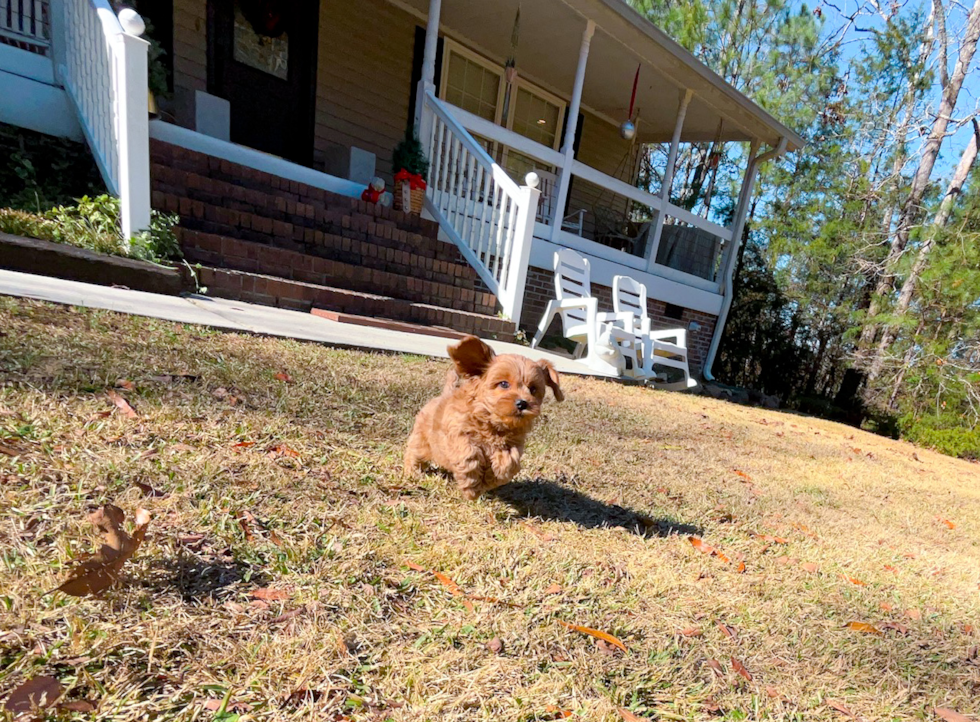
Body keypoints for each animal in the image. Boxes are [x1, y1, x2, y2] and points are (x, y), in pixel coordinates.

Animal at [402, 334, 564, 498]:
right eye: (504, 384)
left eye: (533, 389)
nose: (523, 403)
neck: (493, 423)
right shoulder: (456, 433)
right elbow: (468, 454)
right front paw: (471, 486)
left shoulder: (515, 443)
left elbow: (510, 460)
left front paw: (493, 475)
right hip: (421, 440)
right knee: (413, 454)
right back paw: (413, 472)